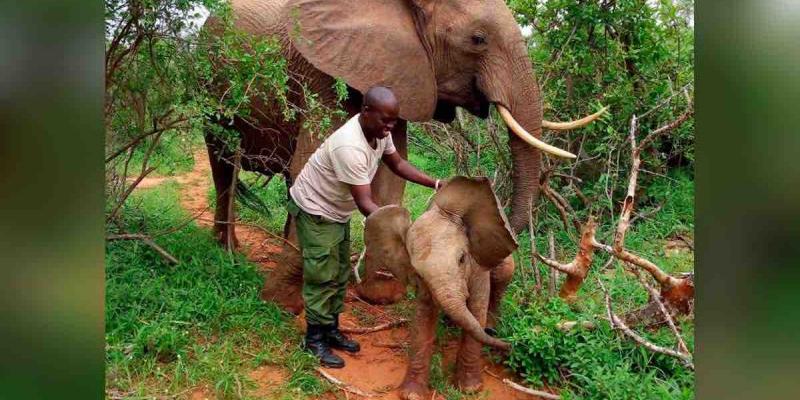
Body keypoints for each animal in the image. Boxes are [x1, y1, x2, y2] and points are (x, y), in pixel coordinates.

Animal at [202, 0, 603, 312]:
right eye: (478, 40)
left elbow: (391, 178)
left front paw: (379, 293)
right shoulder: (319, 72)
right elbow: (310, 166)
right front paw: (285, 301)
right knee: (224, 164)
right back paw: (228, 251)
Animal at [363, 176, 516, 399]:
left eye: (462, 259)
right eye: (418, 273)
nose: (511, 346)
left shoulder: (477, 264)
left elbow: (477, 307)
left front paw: (470, 390)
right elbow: (423, 317)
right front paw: (412, 394)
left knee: (503, 275)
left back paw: (490, 327)